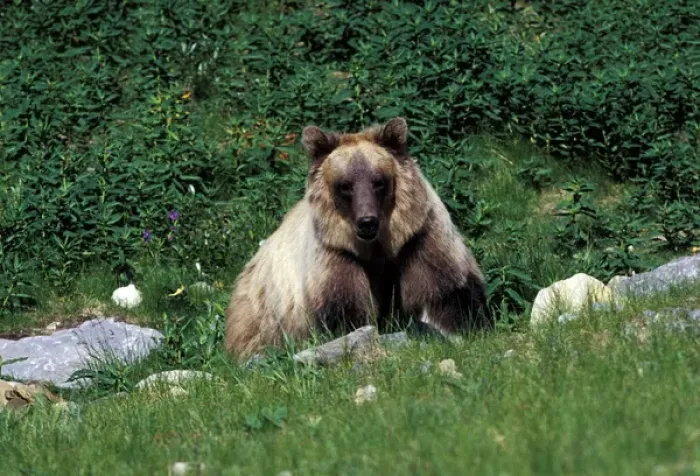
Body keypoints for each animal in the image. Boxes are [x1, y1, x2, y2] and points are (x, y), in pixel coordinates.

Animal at [224, 117, 491, 360]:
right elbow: (347, 315)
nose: (367, 222)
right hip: (260, 318)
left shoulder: (420, 240)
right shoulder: (336, 255)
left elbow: (445, 294)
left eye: (378, 181)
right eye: (345, 185)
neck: (378, 250)